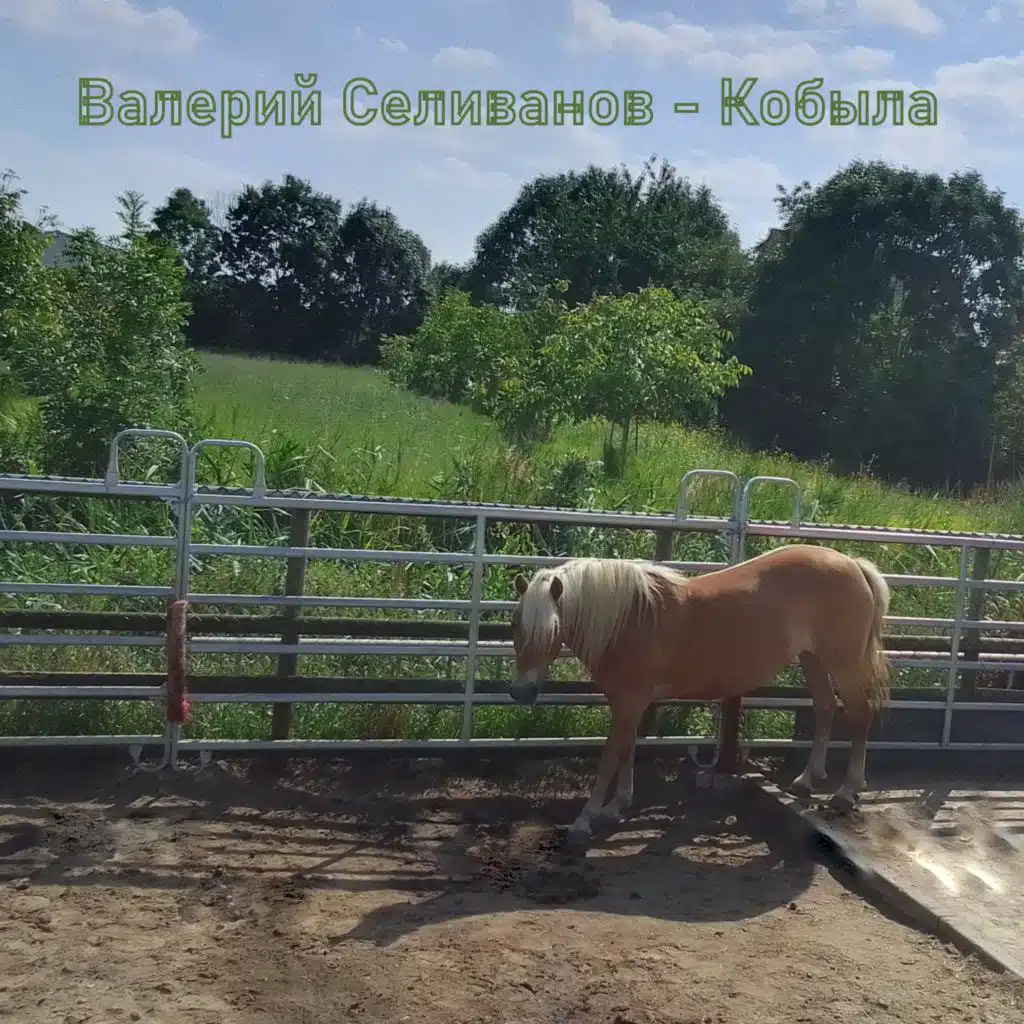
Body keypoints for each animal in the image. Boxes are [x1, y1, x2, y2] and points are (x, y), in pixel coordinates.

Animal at [508, 543, 890, 841]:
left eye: (551, 629)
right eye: (515, 625)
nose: (521, 693)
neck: (629, 619)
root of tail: (851, 563)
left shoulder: (630, 701)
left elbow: (608, 759)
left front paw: (585, 819)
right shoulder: (628, 702)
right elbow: (627, 750)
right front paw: (616, 806)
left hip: (843, 662)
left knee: (859, 714)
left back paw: (847, 791)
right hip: (812, 659)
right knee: (825, 708)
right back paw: (807, 779)